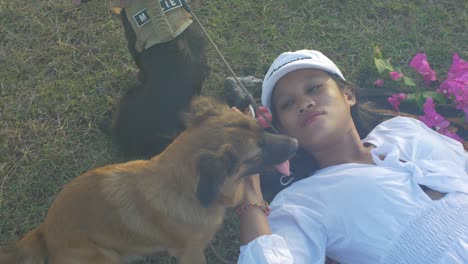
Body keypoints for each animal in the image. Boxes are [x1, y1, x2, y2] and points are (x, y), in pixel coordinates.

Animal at [0, 97, 300, 264]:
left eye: (261, 129)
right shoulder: (191, 254)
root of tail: (45, 232)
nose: (296, 144)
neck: (184, 189)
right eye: (257, 154)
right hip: (106, 257)